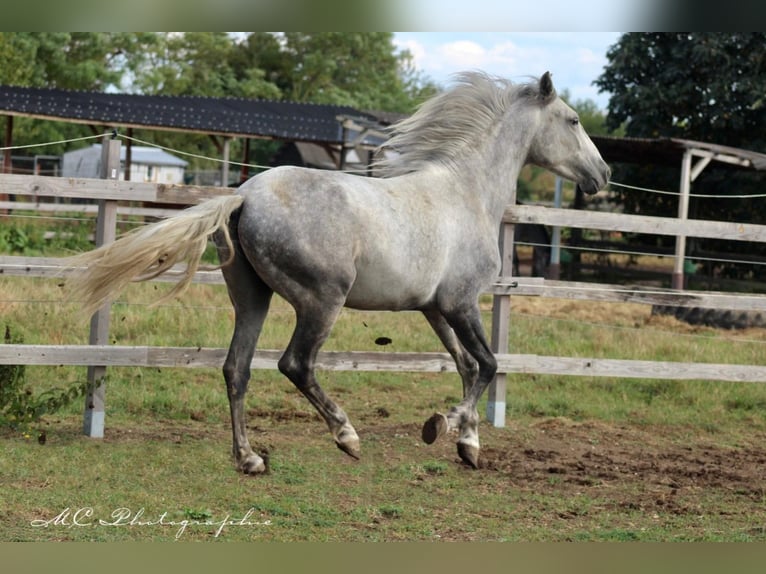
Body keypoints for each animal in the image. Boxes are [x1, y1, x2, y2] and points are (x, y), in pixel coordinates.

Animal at [69, 72, 616, 474]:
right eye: (573, 119)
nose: (603, 174)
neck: (468, 194)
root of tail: (244, 196)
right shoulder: (461, 302)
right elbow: (487, 363)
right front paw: (442, 424)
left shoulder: (435, 308)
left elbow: (466, 365)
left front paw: (469, 445)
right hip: (322, 300)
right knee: (295, 364)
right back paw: (347, 436)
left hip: (253, 298)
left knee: (236, 368)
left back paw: (250, 458)